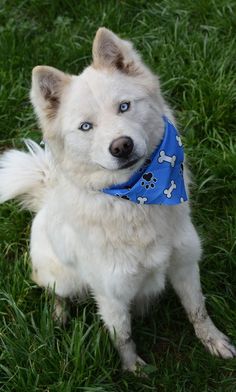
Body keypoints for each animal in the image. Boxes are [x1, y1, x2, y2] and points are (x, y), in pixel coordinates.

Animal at [0, 29, 235, 372]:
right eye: (86, 126)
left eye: (124, 106)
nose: (121, 146)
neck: (137, 197)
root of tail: (45, 198)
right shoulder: (112, 296)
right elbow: (122, 336)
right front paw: (134, 370)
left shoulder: (185, 264)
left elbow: (198, 311)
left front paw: (215, 342)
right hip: (62, 278)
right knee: (55, 292)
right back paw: (58, 316)